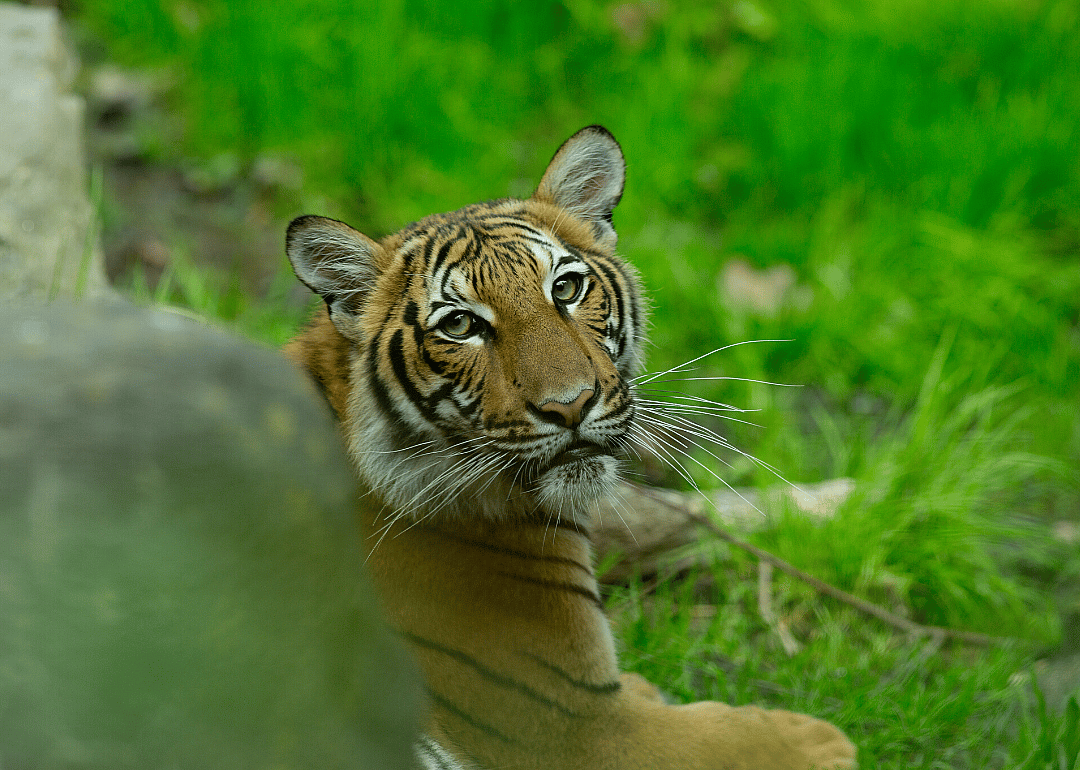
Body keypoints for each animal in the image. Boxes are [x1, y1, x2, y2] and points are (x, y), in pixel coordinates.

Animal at [284, 125, 858, 770]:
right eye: (459, 325)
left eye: (566, 287)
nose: (571, 405)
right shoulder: (577, 723)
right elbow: (724, 737)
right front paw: (821, 740)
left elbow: (684, 516)